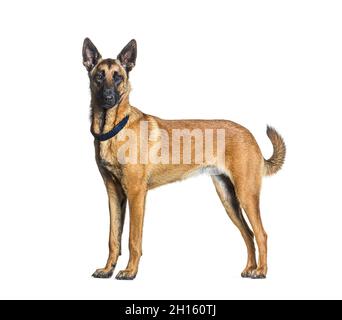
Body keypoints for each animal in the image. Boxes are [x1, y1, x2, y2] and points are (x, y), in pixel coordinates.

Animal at [83, 38, 286, 280]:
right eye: (99, 76)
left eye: (118, 77)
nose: (108, 98)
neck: (115, 129)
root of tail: (250, 135)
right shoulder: (113, 194)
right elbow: (113, 238)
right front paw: (108, 269)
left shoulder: (136, 194)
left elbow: (133, 238)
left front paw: (130, 271)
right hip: (229, 199)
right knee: (248, 234)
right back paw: (249, 268)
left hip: (246, 194)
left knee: (261, 234)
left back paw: (261, 271)